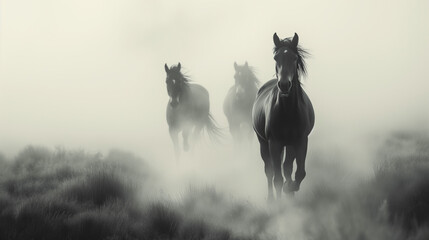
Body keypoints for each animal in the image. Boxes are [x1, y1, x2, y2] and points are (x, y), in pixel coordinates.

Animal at [251, 32, 314, 200]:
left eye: (294, 57)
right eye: (275, 58)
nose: (284, 85)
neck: (288, 111)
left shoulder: (301, 141)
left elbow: (299, 173)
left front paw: (290, 188)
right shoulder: (274, 143)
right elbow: (277, 178)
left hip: (289, 144)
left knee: (287, 167)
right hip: (264, 143)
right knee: (269, 170)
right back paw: (271, 199)